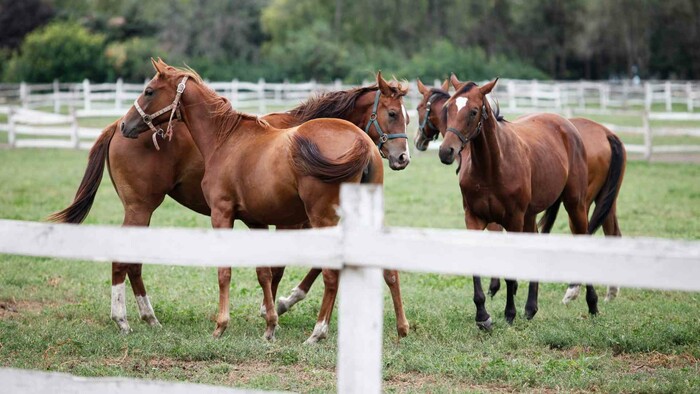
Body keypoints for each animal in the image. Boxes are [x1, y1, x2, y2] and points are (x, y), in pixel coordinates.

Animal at [47, 68, 410, 338]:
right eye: (393, 113)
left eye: (406, 116)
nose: (402, 157)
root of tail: (112, 129)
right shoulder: (284, 221)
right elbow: (278, 269)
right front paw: (274, 309)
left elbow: (277, 268)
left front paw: (273, 310)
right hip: (140, 208)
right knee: (125, 260)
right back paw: (127, 318)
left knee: (131, 263)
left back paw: (144, 318)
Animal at [440, 77, 600, 330]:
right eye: (448, 108)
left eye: (473, 111)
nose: (446, 151)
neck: (492, 167)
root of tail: (567, 125)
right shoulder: (473, 218)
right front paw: (483, 316)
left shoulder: (513, 220)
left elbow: (510, 270)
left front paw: (509, 314)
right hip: (531, 215)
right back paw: (530, 308)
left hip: (575, 205)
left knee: (583, 239)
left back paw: (592, 304)